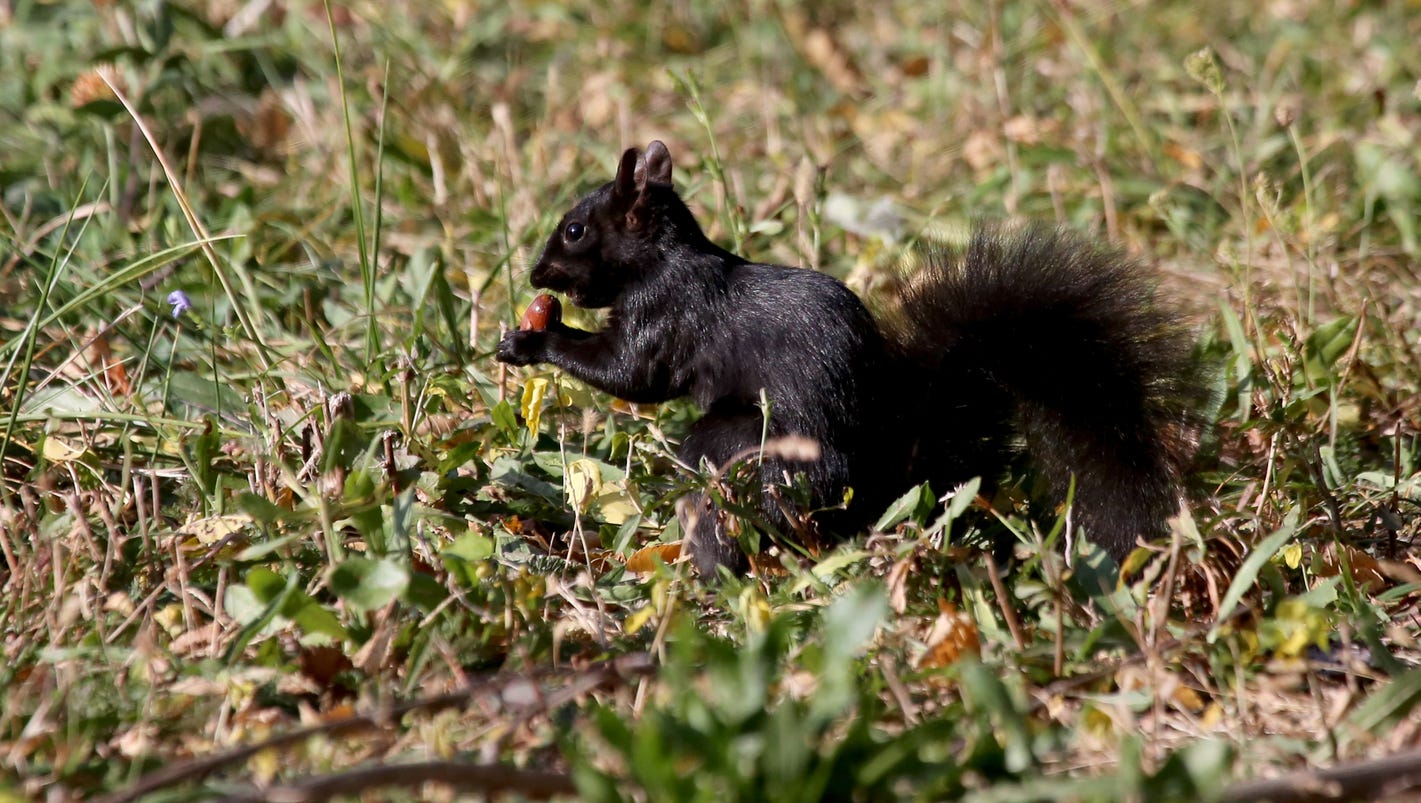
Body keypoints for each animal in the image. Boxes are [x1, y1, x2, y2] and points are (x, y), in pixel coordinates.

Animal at [497, 140, 1199, 574]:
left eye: (575, 231)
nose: (535, 274)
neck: (664, 260)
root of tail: (881, 476)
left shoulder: (668, 316)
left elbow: (632, 374)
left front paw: (534, 339)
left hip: (754, 452)